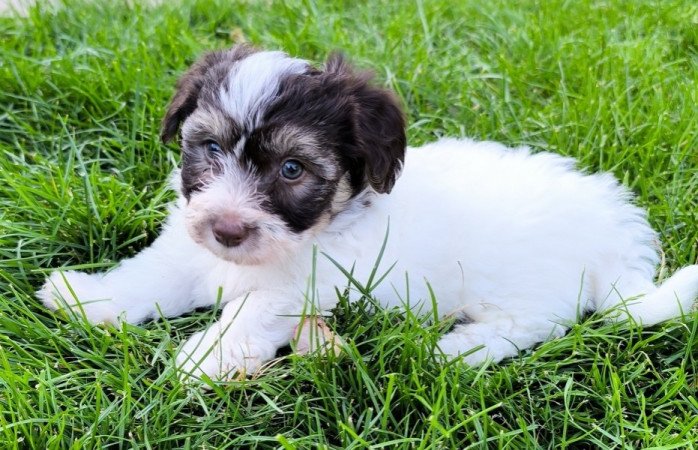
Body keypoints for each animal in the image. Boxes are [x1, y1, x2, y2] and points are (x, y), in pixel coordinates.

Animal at [39, 46, 696, 380]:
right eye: (212, 148)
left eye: (292, 170)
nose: (226, 230)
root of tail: (615, 234)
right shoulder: (187, 249)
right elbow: (148, 276)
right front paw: (87, 298)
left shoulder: (302, 287)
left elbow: (251, 313)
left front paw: (207, 357)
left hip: (527, 287)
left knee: (531, 325)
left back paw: (454, 350)